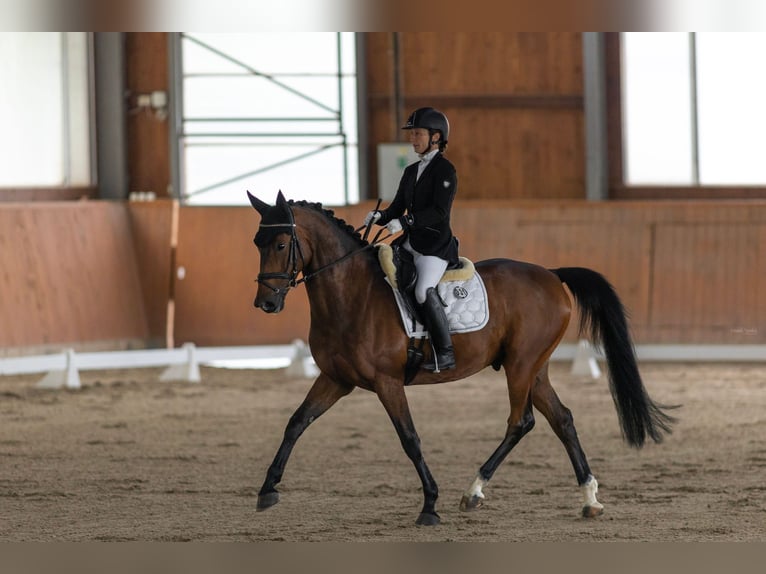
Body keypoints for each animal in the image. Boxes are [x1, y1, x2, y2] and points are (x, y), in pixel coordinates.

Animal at [248, 191, 680, 528]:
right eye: (257, 243)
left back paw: (473, 492)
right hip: (534, 368)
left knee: (521, 421)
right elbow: (296, 423)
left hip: (520, 365)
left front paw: (429, 505)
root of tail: (551, 274)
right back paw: (589, 499)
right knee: (562, 419)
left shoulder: (387, 382)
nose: (266, 303)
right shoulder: (336, 379)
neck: (351, 294)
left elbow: (410, 439)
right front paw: (267, 489)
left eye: (282, 245)